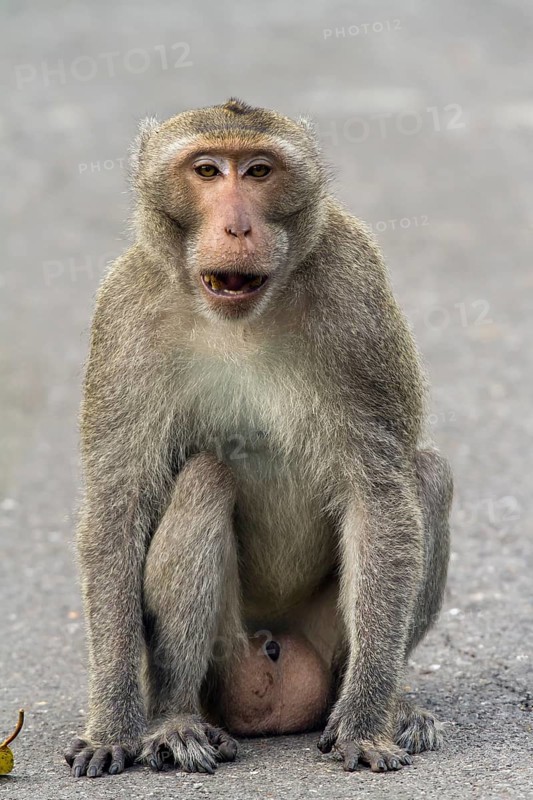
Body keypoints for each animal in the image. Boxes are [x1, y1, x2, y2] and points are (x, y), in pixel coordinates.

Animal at [64, 98, 453, 779]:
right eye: (208, 170)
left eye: (259, 171)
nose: (238, 228)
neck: (241, 319)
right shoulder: (125, 313)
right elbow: (117, 505)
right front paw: (112, 724)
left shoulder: (358, 293)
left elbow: (379, 496)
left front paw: (366, 724)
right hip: (229, 651)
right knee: (204, 479)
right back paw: (175, 717)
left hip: (327, 639)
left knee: (424, 474)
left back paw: (388, 702)